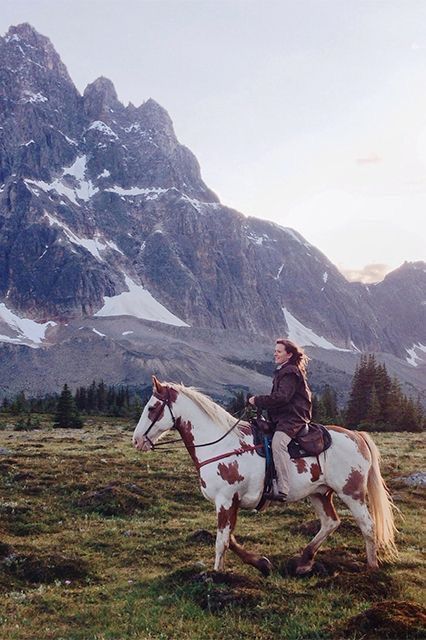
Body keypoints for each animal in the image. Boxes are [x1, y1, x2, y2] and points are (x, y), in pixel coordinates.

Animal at [132, 376, 396, 576]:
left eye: (152, 408)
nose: (136, 441)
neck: (220, 444)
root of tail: (356, 435)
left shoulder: (225, 500)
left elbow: (222, 540)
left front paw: (216, 574)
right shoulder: (233, 501)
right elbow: (231, 538)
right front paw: (261, 563)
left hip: (351, 493)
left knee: (367, 525)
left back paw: (372, 567)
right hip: (319, 493)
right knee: (331, 522)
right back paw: (304, 561)